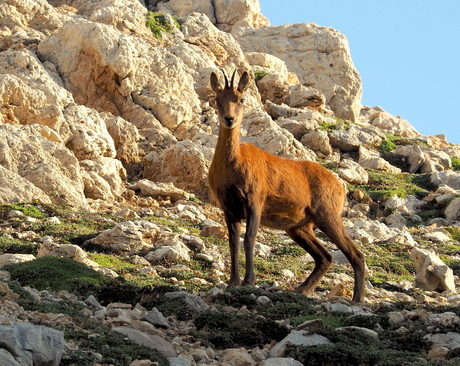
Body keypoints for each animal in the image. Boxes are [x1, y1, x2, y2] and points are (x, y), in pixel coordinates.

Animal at [209, 69, 366, 304]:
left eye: (241, 99)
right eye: (217, 99)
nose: (229, 119)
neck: (233, 164)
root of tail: (339, 185)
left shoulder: (254, 201)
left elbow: (249, 239)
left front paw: (249, 281)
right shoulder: (229, 208)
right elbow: (233, 243)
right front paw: (232, 282)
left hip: (327, 215)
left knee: (355, 254)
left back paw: (357, 298)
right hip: (298, 227)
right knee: (325, 256)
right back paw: (302, 290)